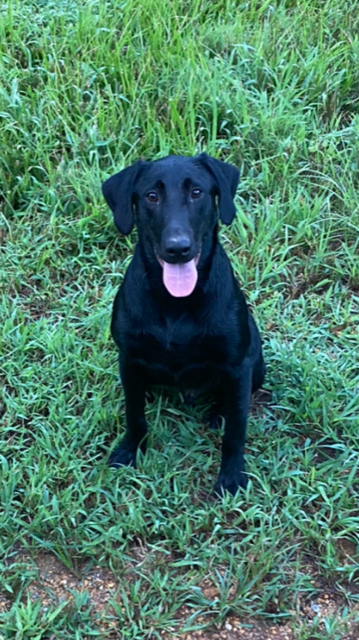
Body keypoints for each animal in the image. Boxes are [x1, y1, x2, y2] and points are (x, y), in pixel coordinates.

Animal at [102, 154, 266, 496]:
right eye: (151, 196)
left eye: (197, 193)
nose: (178, 248)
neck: (176, 301)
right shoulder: (129, 359)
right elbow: (134, 413)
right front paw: (130, 450)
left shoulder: (237, 365)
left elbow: (236, 429)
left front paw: (231, 476)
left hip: (255, 361)